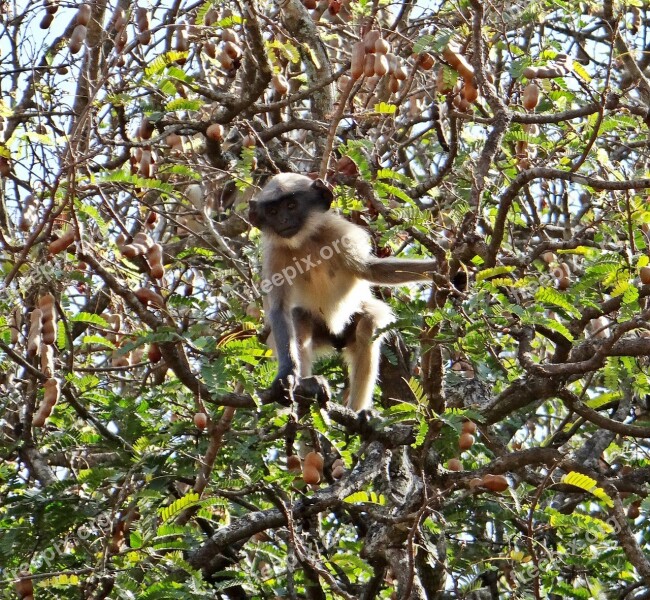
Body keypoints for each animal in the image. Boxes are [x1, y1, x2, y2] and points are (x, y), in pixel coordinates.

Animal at [248, 171, 436, 410]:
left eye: (291, 206)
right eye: (273, 212)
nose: (283, 220)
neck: (305, 242)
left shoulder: (340, 233)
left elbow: (371, 269)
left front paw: (448, 270)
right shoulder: (275, 254)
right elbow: (279, 310)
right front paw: (287, 376)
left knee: (367, 324)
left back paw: (358, 411)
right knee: (298, 316)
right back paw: (307, 385)